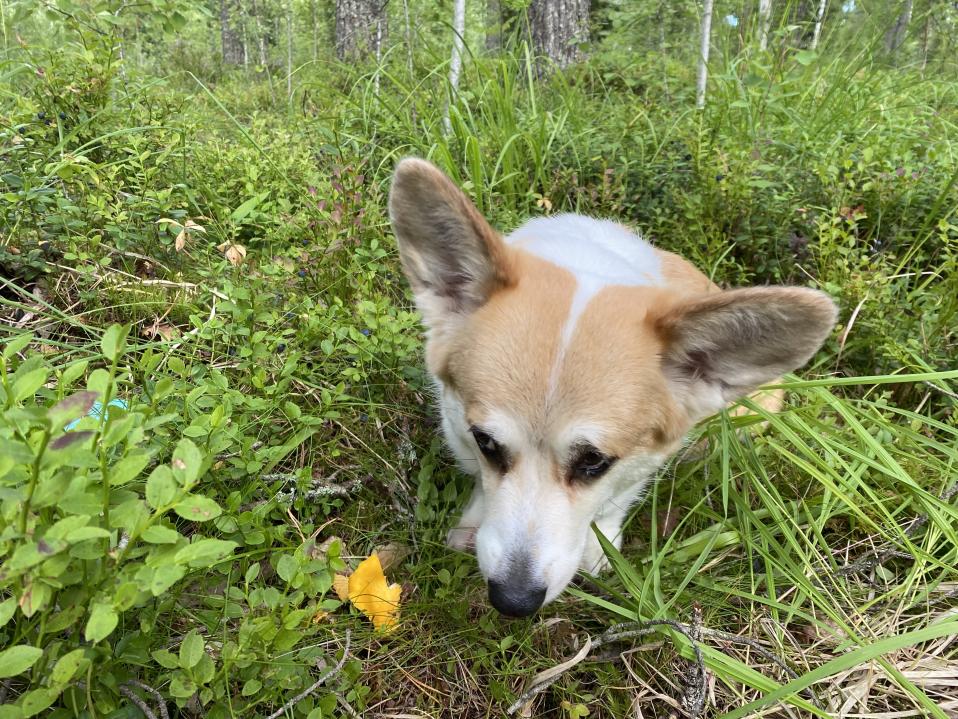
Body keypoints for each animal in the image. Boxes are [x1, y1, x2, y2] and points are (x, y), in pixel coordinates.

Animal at [390, 158, 840, 620]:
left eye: (593, 461)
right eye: (486, 442)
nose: (513, 601)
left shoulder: (644, 460)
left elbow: (614, 500)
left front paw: (597, 551)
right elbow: (480, 482)